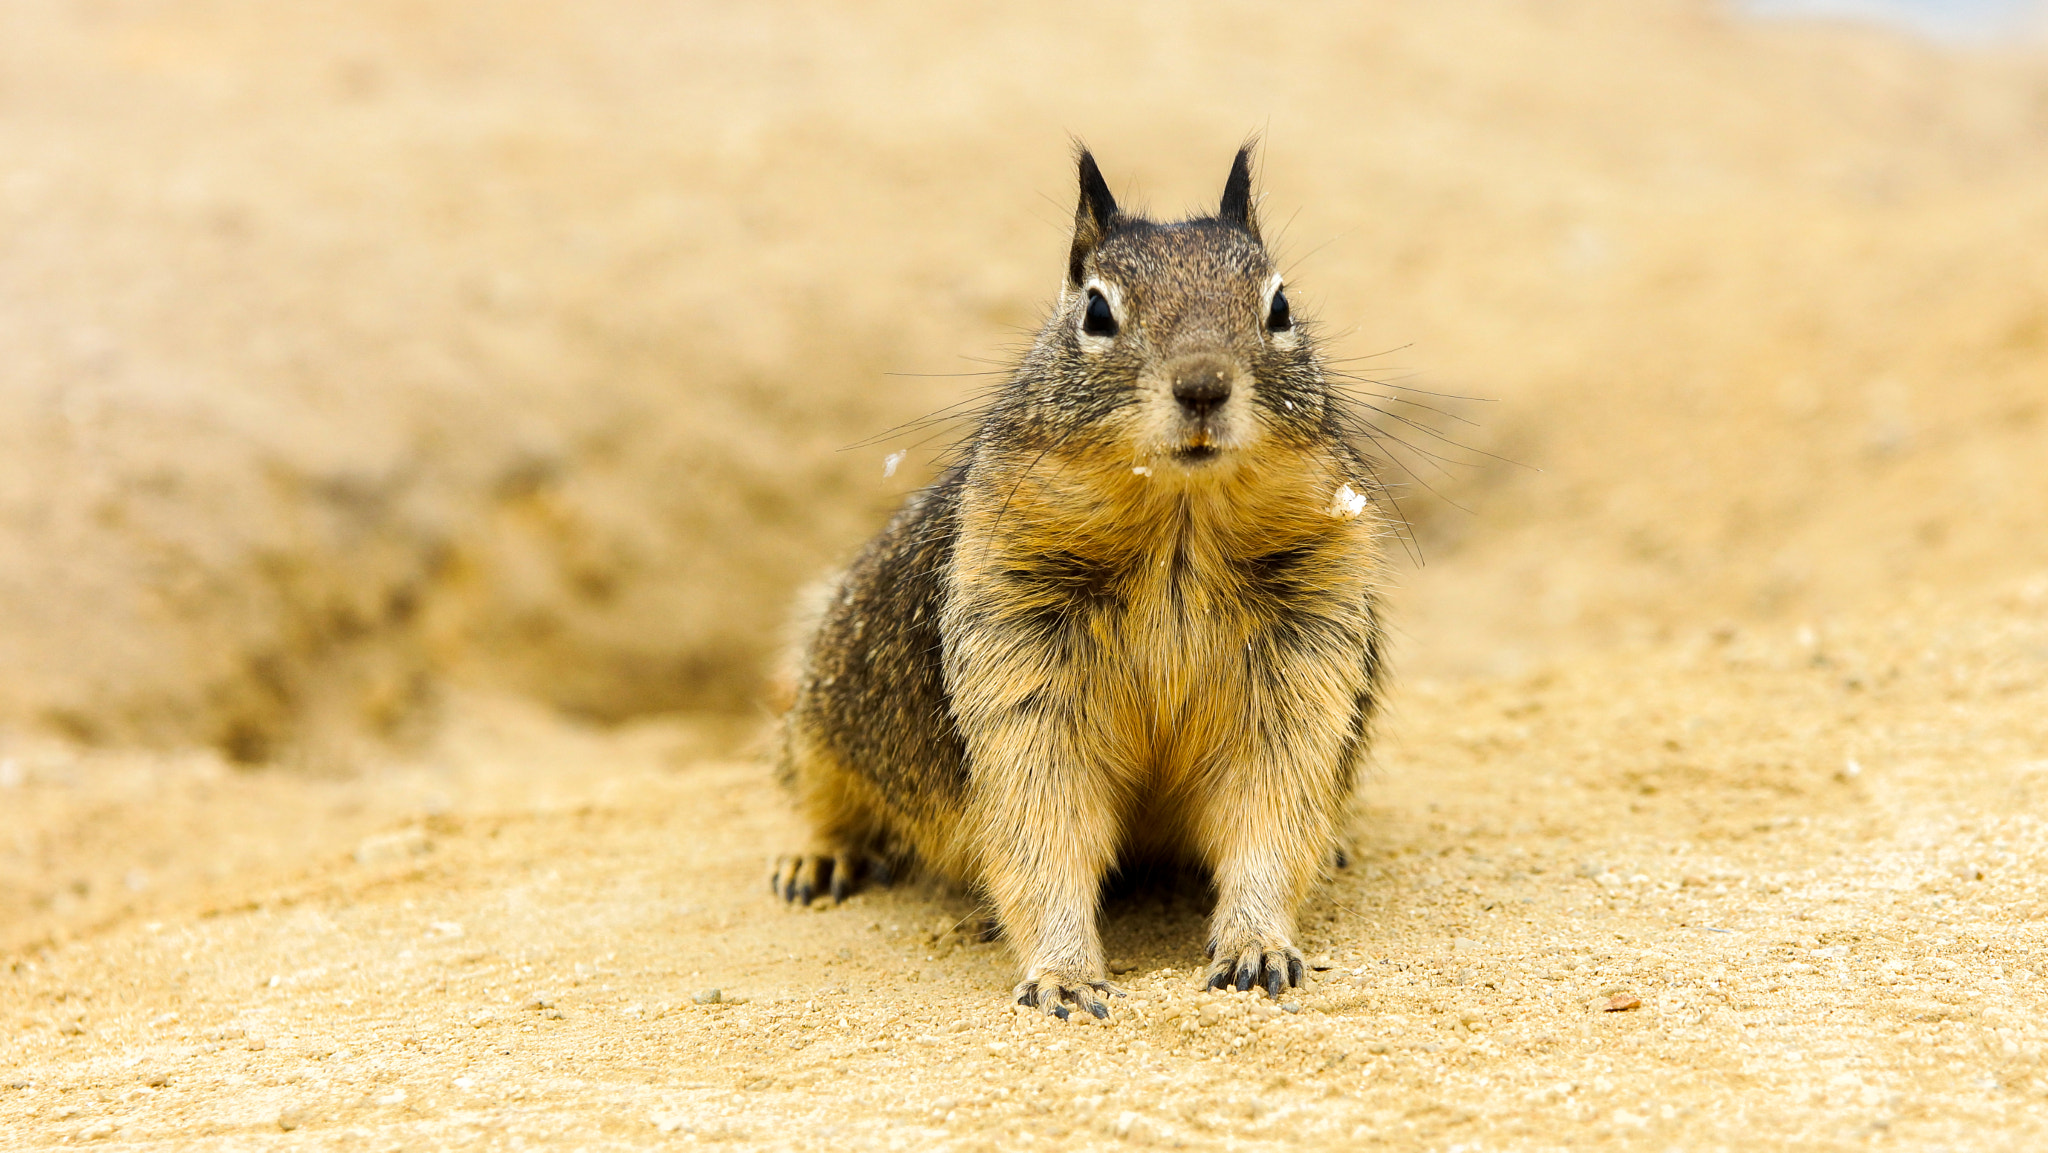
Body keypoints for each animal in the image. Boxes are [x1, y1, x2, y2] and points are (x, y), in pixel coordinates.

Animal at [770, 144, 1392, 1019]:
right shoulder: (1020, 669)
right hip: (823, 713)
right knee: (815, 791)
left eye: (1280, 307)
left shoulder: (1303, 662)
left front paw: (1257, 943)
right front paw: (1063, 972)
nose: (1203, 385)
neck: (1178, 533)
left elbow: (1270, 815)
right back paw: (814, 861)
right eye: (1096, 312)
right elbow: (1042, 830)